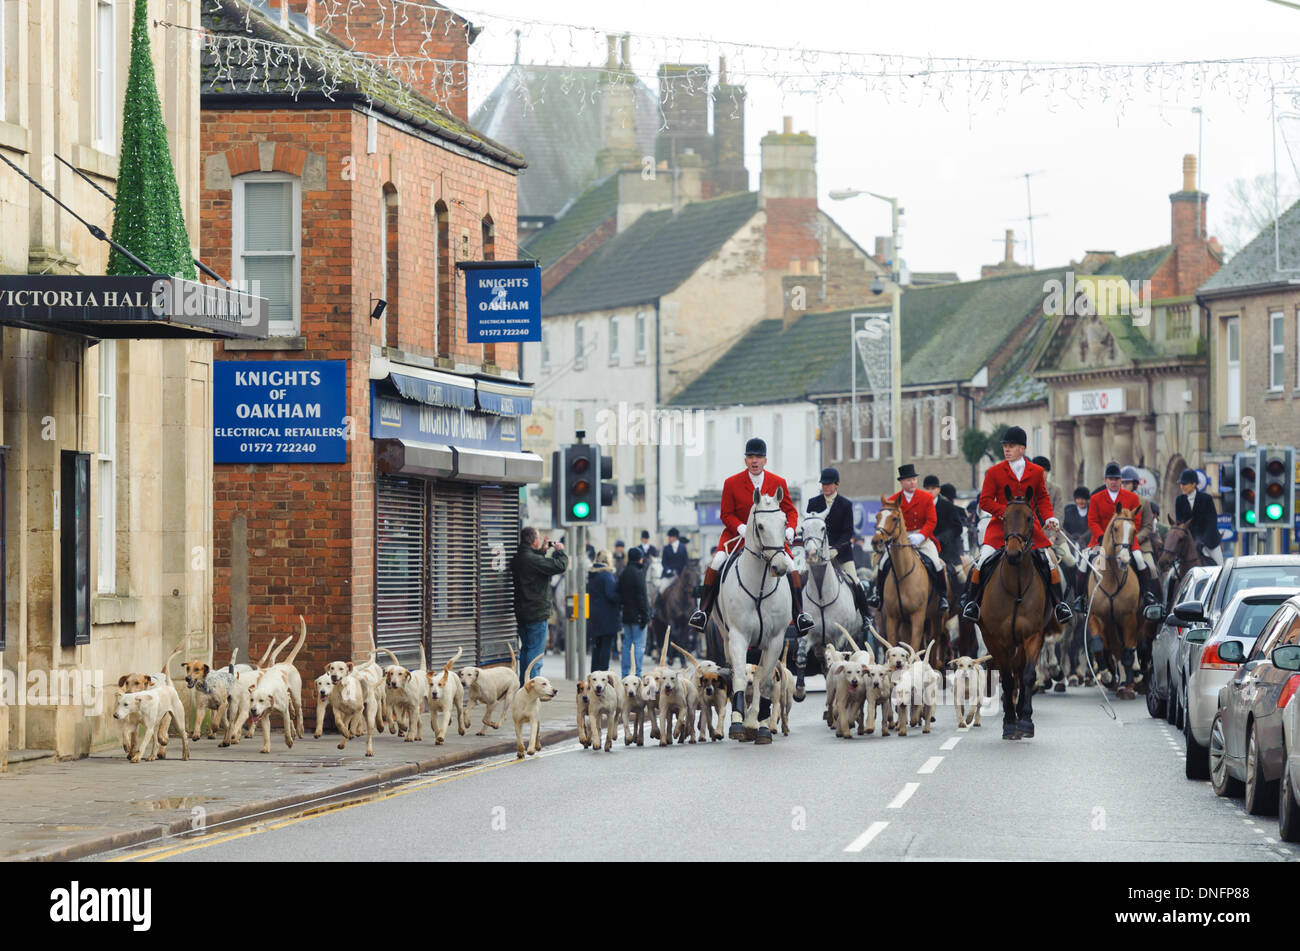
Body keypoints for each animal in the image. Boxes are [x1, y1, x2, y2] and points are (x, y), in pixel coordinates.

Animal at [712, 491, 790, 743]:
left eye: (784, 522)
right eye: (761, 526)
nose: (780, 567)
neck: (760, 585)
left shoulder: (775, 640)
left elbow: (764, 682)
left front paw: (761, 724)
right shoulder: (738, 636)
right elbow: (738, 677)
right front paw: (738, 723)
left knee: (757, 677)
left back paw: (756, 720)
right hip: (726, 636)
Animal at [790, 511, 863, 706]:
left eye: (824, 528)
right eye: (802, 529)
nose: (811, 553)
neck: (822, 595)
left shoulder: (839, 637)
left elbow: (840, 660)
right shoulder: (807, 635)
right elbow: (801, 657)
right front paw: (799, 691)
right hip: (820, 645)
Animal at [873, 498, 946, 670]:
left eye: (894, 518)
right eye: (877, 517)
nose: (876, 541)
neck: (902, 574)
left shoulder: (918, 617)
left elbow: (914, 647)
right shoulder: (893, 619)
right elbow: (895, 646)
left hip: (936, 618)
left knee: (934, 641)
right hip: (906, 623)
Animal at [977, 485, 1055, 737]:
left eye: (1030, 518)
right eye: (1004, 518)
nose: (1012, 554)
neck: (1016, 587)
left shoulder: (1033, 635)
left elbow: (1027, 675)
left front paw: (1026, 720)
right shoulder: (995, 639)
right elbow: (1007, 678)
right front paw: (1010, 722)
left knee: (1020, 672)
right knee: (1010, 675)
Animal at [1081, 504, 1144, 696]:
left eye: (1134, 530)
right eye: (1115, 528)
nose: (1124, 559)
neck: (1111, 578)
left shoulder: (1129, 617)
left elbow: (1128, 651)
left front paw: (1129, 683)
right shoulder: (1095, 616)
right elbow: (1097, 645)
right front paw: (1106, 675)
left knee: (1129, 649)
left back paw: (1131, 677)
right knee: (1115, 649)